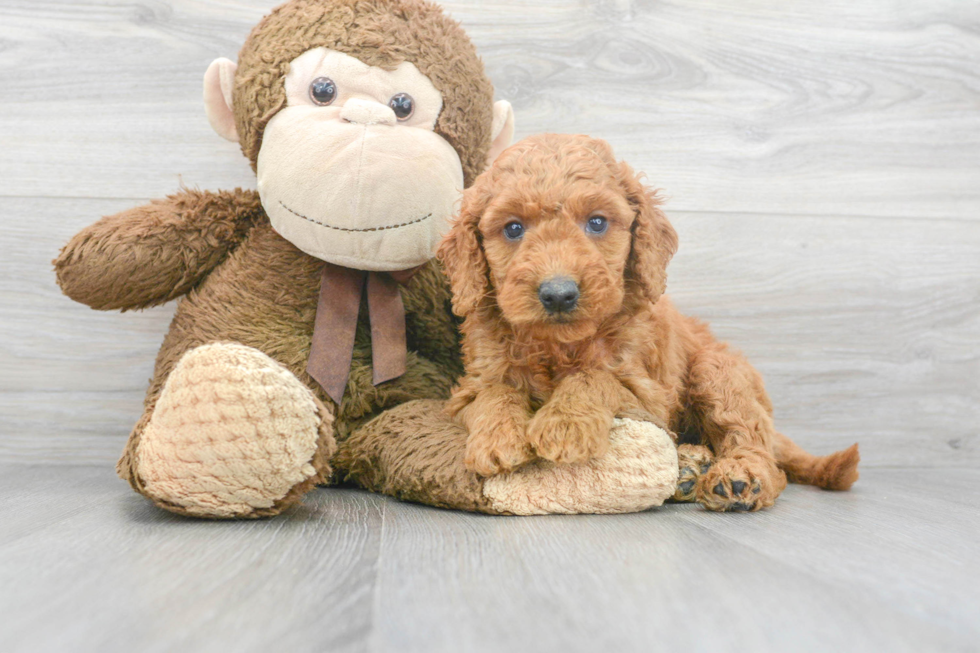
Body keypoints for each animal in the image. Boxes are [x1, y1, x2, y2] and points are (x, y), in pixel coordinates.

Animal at [436, 132, 856, 510]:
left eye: (597, 222)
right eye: (513, 228)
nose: (558, 293)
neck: (559, 346)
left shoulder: (646, 395)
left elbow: (593, 377)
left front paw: (565, 426)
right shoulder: (469, 387)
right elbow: (495, 392)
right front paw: (496, 439)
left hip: (716, 371)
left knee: (759, 451)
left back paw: (739, 479)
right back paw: (690, 467)